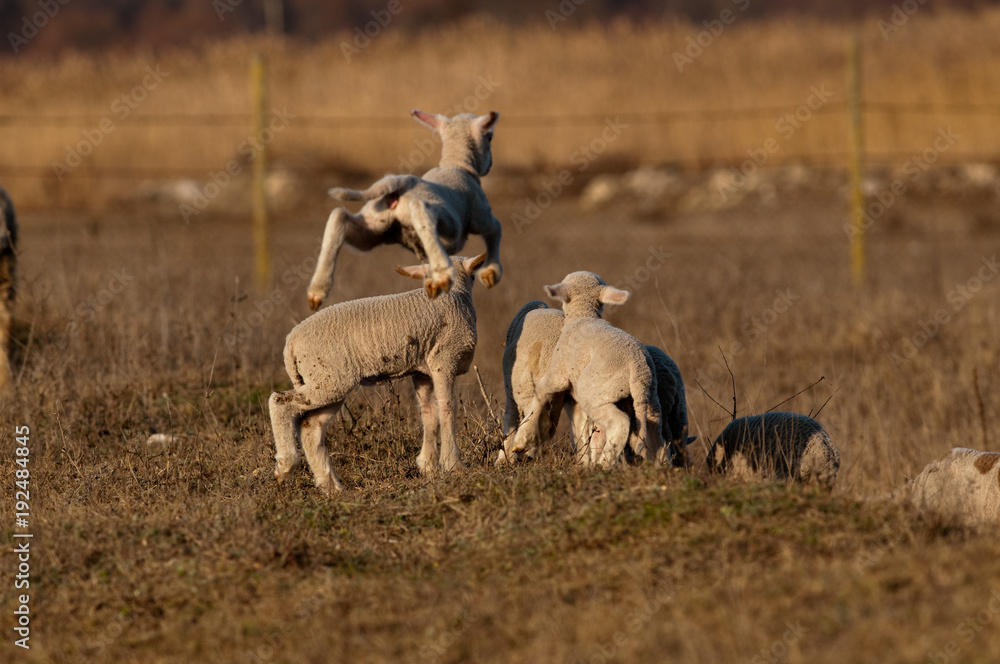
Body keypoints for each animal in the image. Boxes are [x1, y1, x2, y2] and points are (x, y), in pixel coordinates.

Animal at [270, 253, 486, 493]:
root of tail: (291, 342)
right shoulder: (444, 359)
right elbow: (447, 407)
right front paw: (454, 465)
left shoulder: (422, 369)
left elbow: (428, 412)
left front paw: (428, 465)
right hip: (327, 378)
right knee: (279, 402)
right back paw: (285, 465)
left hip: (326, 379)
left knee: (311, 427)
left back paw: (332, 487)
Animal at [306, 110, 502, 308]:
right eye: (490, 137)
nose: (491, 164)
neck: (457, 164)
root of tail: (399, 182)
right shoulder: (481, 215)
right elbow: (496, 230)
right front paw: (491, 272)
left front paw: (432, 284)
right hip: (447, 223)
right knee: (420, 210)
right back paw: (444, 273)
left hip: (372, 228)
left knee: (338, 216)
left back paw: (318, 290)